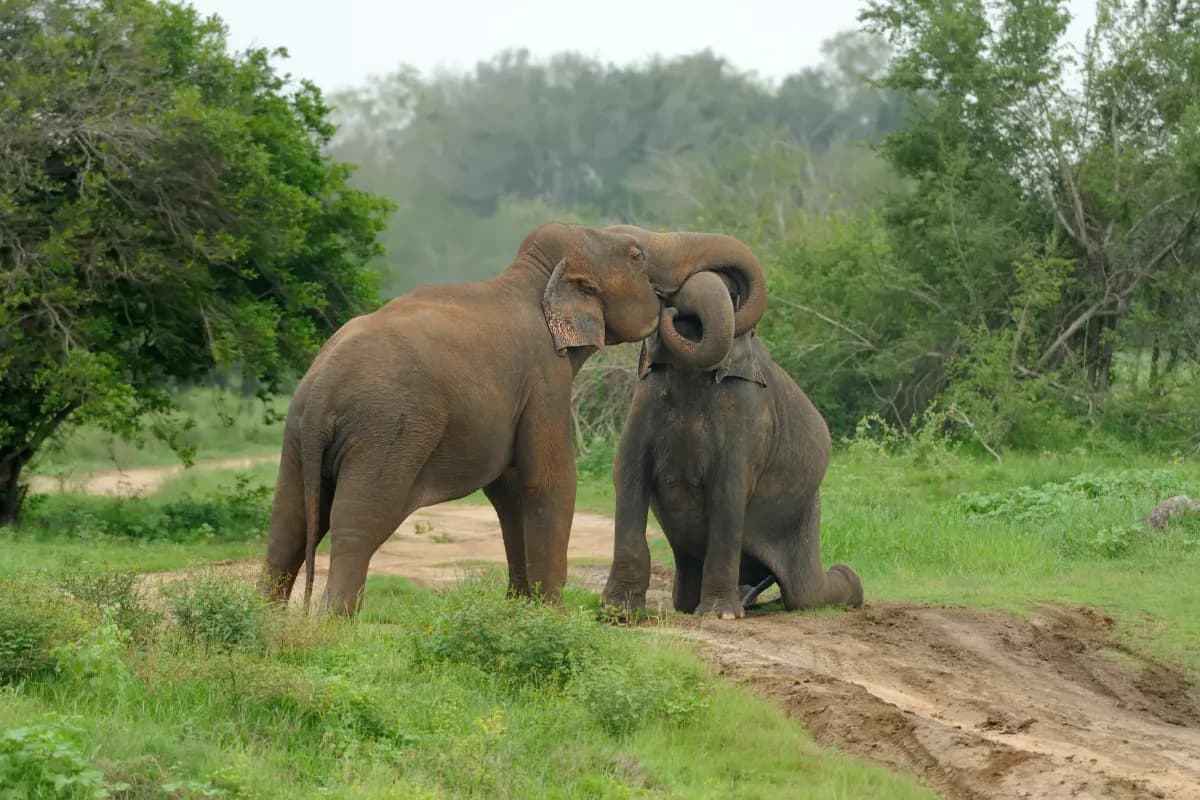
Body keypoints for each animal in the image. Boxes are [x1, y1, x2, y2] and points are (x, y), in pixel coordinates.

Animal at [259, 222, 768, 615]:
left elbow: (508, 491)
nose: (677, 310)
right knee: (358, 519)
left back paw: (267, 619)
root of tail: (322, 390)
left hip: (296, 433)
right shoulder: (544, 378)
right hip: (385, 434)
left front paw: (520, 608)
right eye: (636, 254)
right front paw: (555, 615)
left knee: (289, 520)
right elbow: (548, 482)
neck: (535, 276)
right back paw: (332, 625)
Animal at [601, 269, 863, 619]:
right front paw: (618, 611)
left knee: (806, 594)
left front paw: (719, 615)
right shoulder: (644, 394)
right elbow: (629, 475)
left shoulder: (746, 409)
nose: (669, 309)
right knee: (688, 593)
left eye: (733, 295)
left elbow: (727, 490)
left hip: (805, 512)